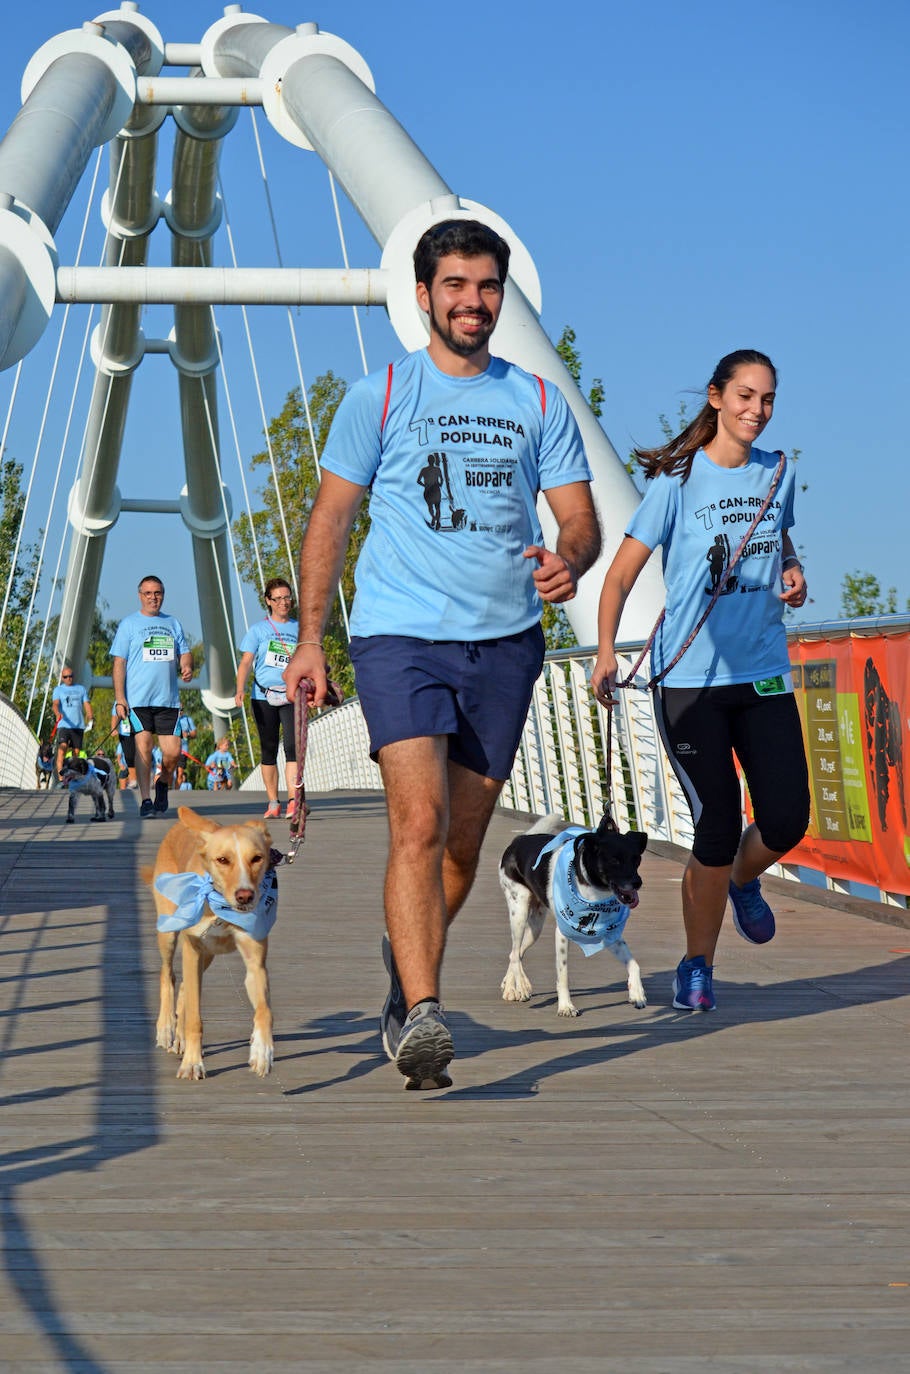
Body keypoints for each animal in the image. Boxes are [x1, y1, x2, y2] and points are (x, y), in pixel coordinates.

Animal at [147, 802, 277, 1082]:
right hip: (169, 933)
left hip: (208, 955)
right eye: (223, 860)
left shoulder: (255, 962)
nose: (245, 896)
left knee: (183, 986)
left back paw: (180, 1039)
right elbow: (194, 1018)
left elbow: (264, 1011)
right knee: (168, 975)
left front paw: (262, 1051)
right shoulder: (192, 949)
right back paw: (166, 1028)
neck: (221, 908)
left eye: (257, 858)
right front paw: (192, 1063)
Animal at [500, 807, 648, 1016]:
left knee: (516, 953)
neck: (594, 892)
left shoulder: (609, 933)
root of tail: (519, 840)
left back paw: (510, 986)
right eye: (614, 860)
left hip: (535, 926)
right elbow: (563, 975)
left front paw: (637, 993)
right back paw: (520, 987)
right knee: (514, 953)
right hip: (518, 912)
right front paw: (565, 1006)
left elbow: (633, 964)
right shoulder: (562, 934)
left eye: (637, 859)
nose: (637, 883)